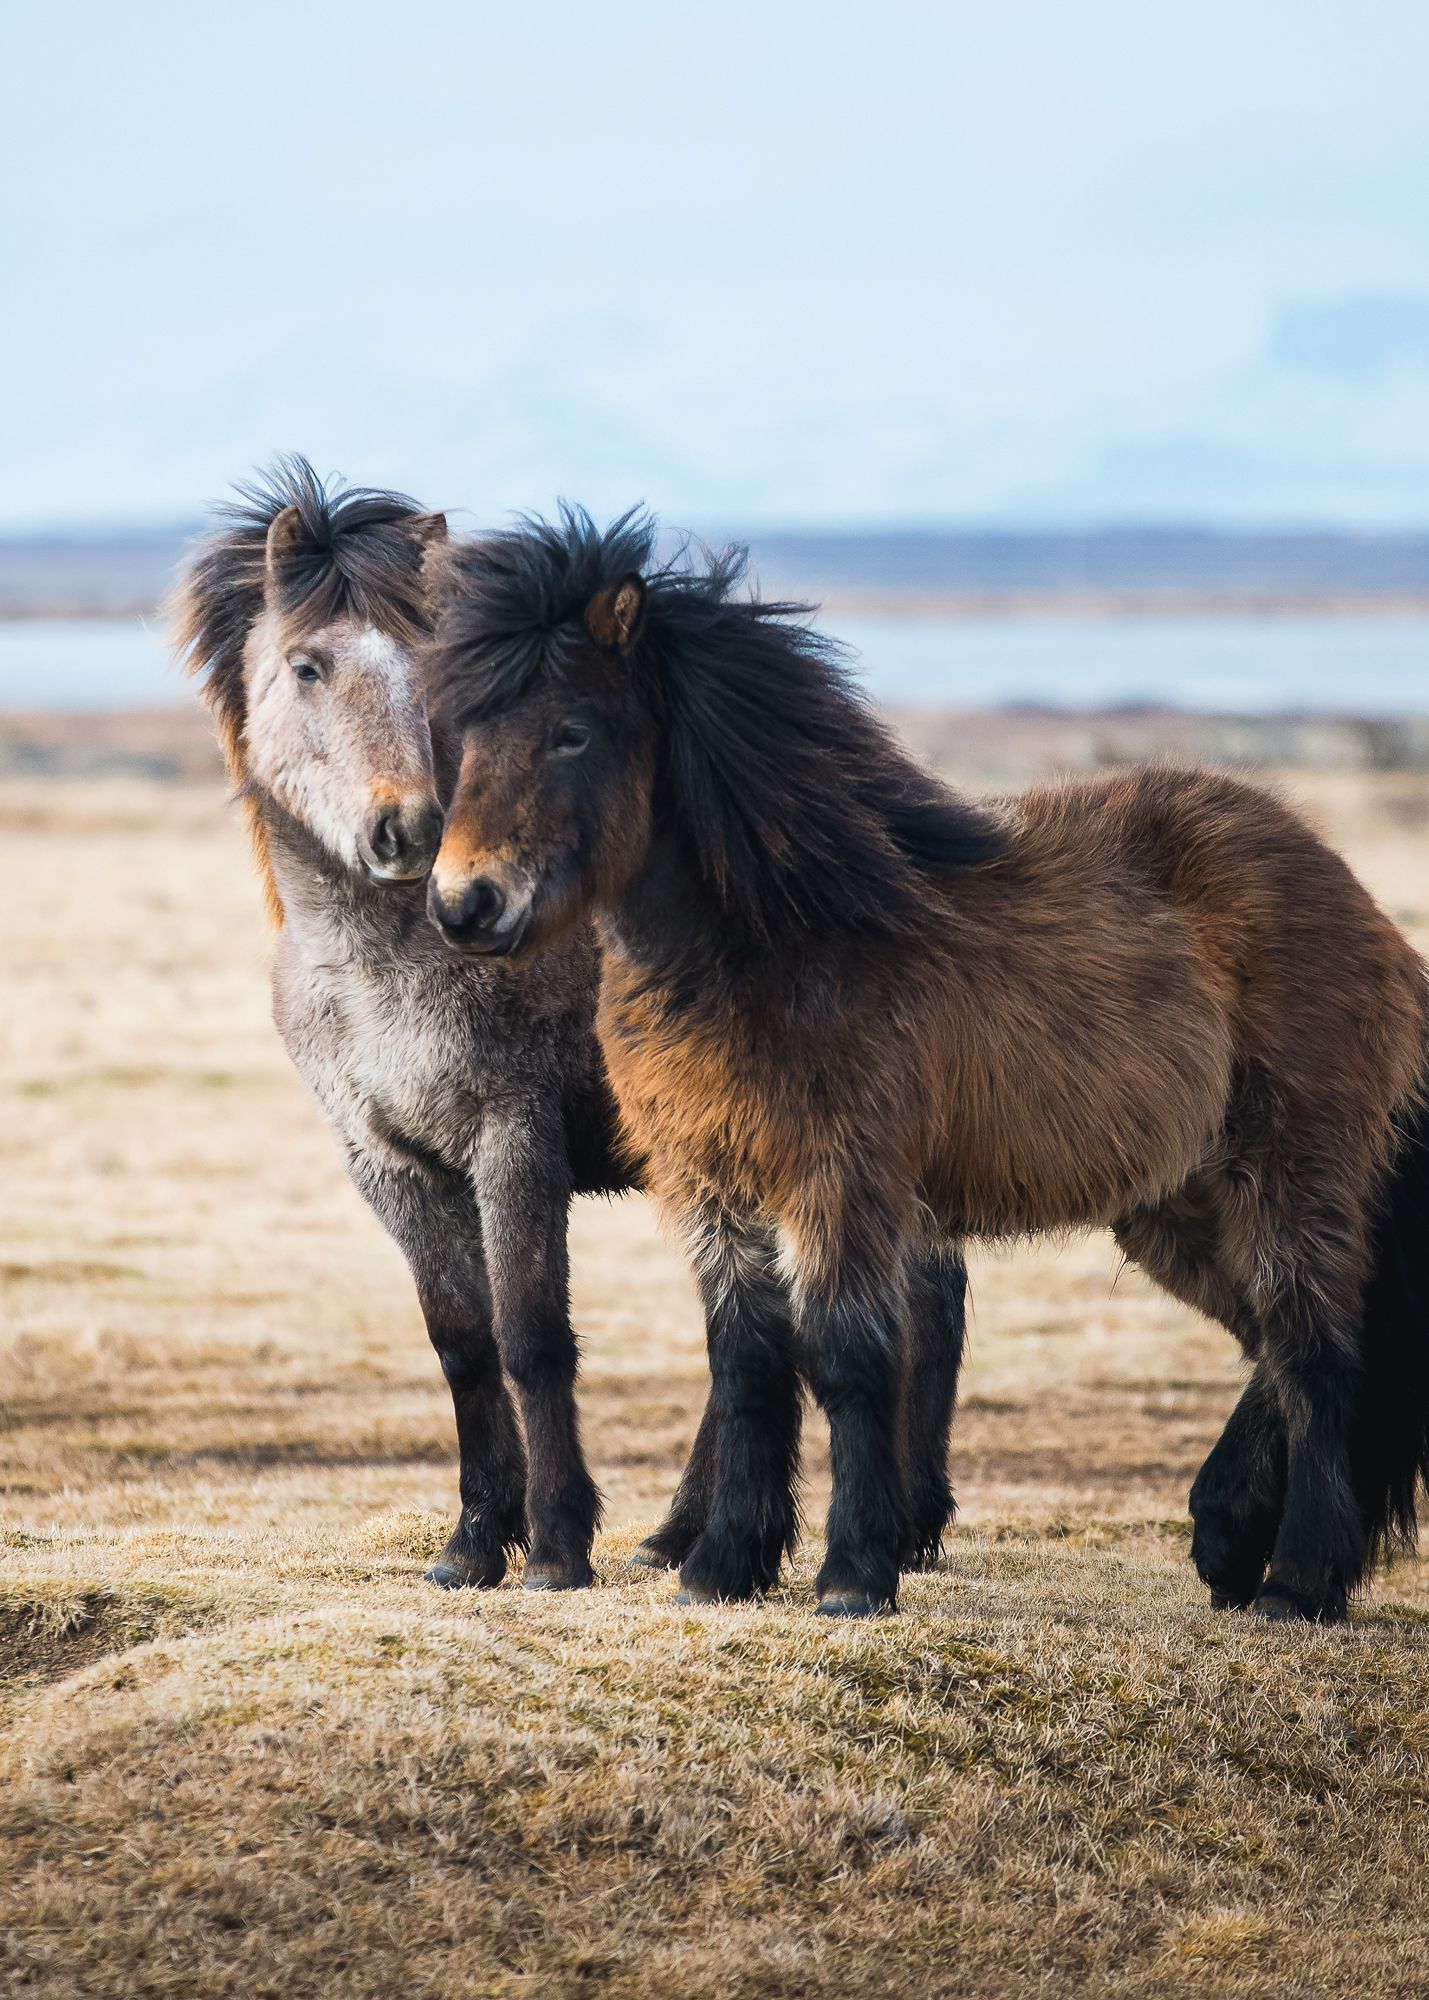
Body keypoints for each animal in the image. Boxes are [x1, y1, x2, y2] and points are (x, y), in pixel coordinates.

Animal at [167, 460, 971, 1594]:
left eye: (436, 672)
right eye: (307, 665)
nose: (408, 829)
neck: (385, 962)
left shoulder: (514, 1139)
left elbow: (532, 1335)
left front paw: (552, 1543)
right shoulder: (387, 1163)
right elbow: (461, 1341)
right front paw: (472, 1541)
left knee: (913, 1298)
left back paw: (892, 1526)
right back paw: (687, 1533)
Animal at [422, 504, 1429, 1623]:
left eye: (572, 729)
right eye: (465, 732)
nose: (464, 905)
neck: (782, 937)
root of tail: (1355, 900)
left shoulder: (840, 1181)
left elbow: (850, 1361)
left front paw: (854, 1575)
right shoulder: (713, 1186)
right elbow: (747, 1368)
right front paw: (724, 1566)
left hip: (1287, 1174)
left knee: (1317, 1354)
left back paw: (1295, 1581)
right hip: (1175, 1201)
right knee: (1276, 1350)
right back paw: (1225, 1539)